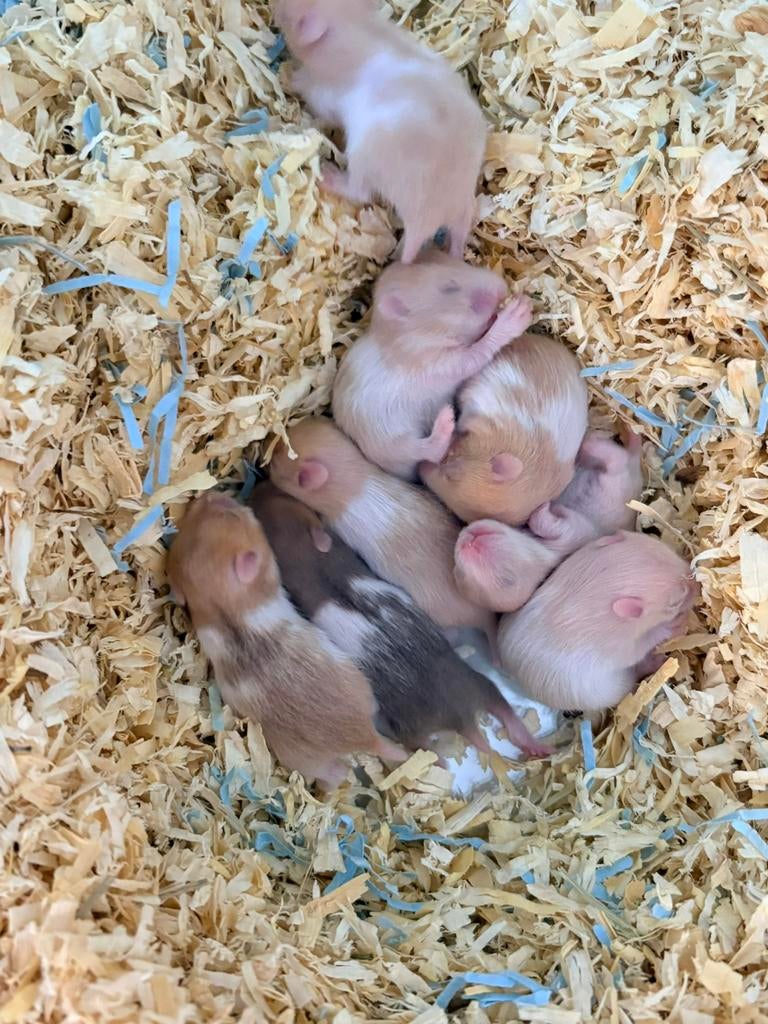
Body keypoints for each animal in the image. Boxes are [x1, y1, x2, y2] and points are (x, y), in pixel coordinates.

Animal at [166, 491, 404, 789]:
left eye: (224, 514)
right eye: (234, 516)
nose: (209, 493)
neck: (225, 609)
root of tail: (364, 735)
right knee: (338, 772)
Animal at [249, 482, 549, 758]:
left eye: (261, 512)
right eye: (279, 496)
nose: (259, 485)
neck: (304, 552)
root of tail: (461, 716)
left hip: (411, 725)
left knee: (421, 747)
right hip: (478, 683)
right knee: (500, 704)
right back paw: (531, 743)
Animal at [274, 0, 486, 261]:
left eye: (289, 17)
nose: (275, 9)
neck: (356, 24)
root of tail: (425, 221)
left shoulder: (323, 94)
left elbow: (307, 88)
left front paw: (287, 75)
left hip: (363, 154)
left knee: (360, 192)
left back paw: (328, 174)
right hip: (463, 208)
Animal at [332, 252, 532, 479]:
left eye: (463, 264)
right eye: (449, 288)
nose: (502, 287)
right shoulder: (431, 360)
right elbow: (474, 355)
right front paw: (517, 314)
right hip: (389, 441)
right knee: (428, 452)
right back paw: (445, 422)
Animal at [498, 531, 698, 712]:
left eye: (665, 549)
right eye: (673, 604)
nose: (697, 583)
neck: (594, 589)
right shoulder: (620, 644)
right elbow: (641, 646)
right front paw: (674, 625)